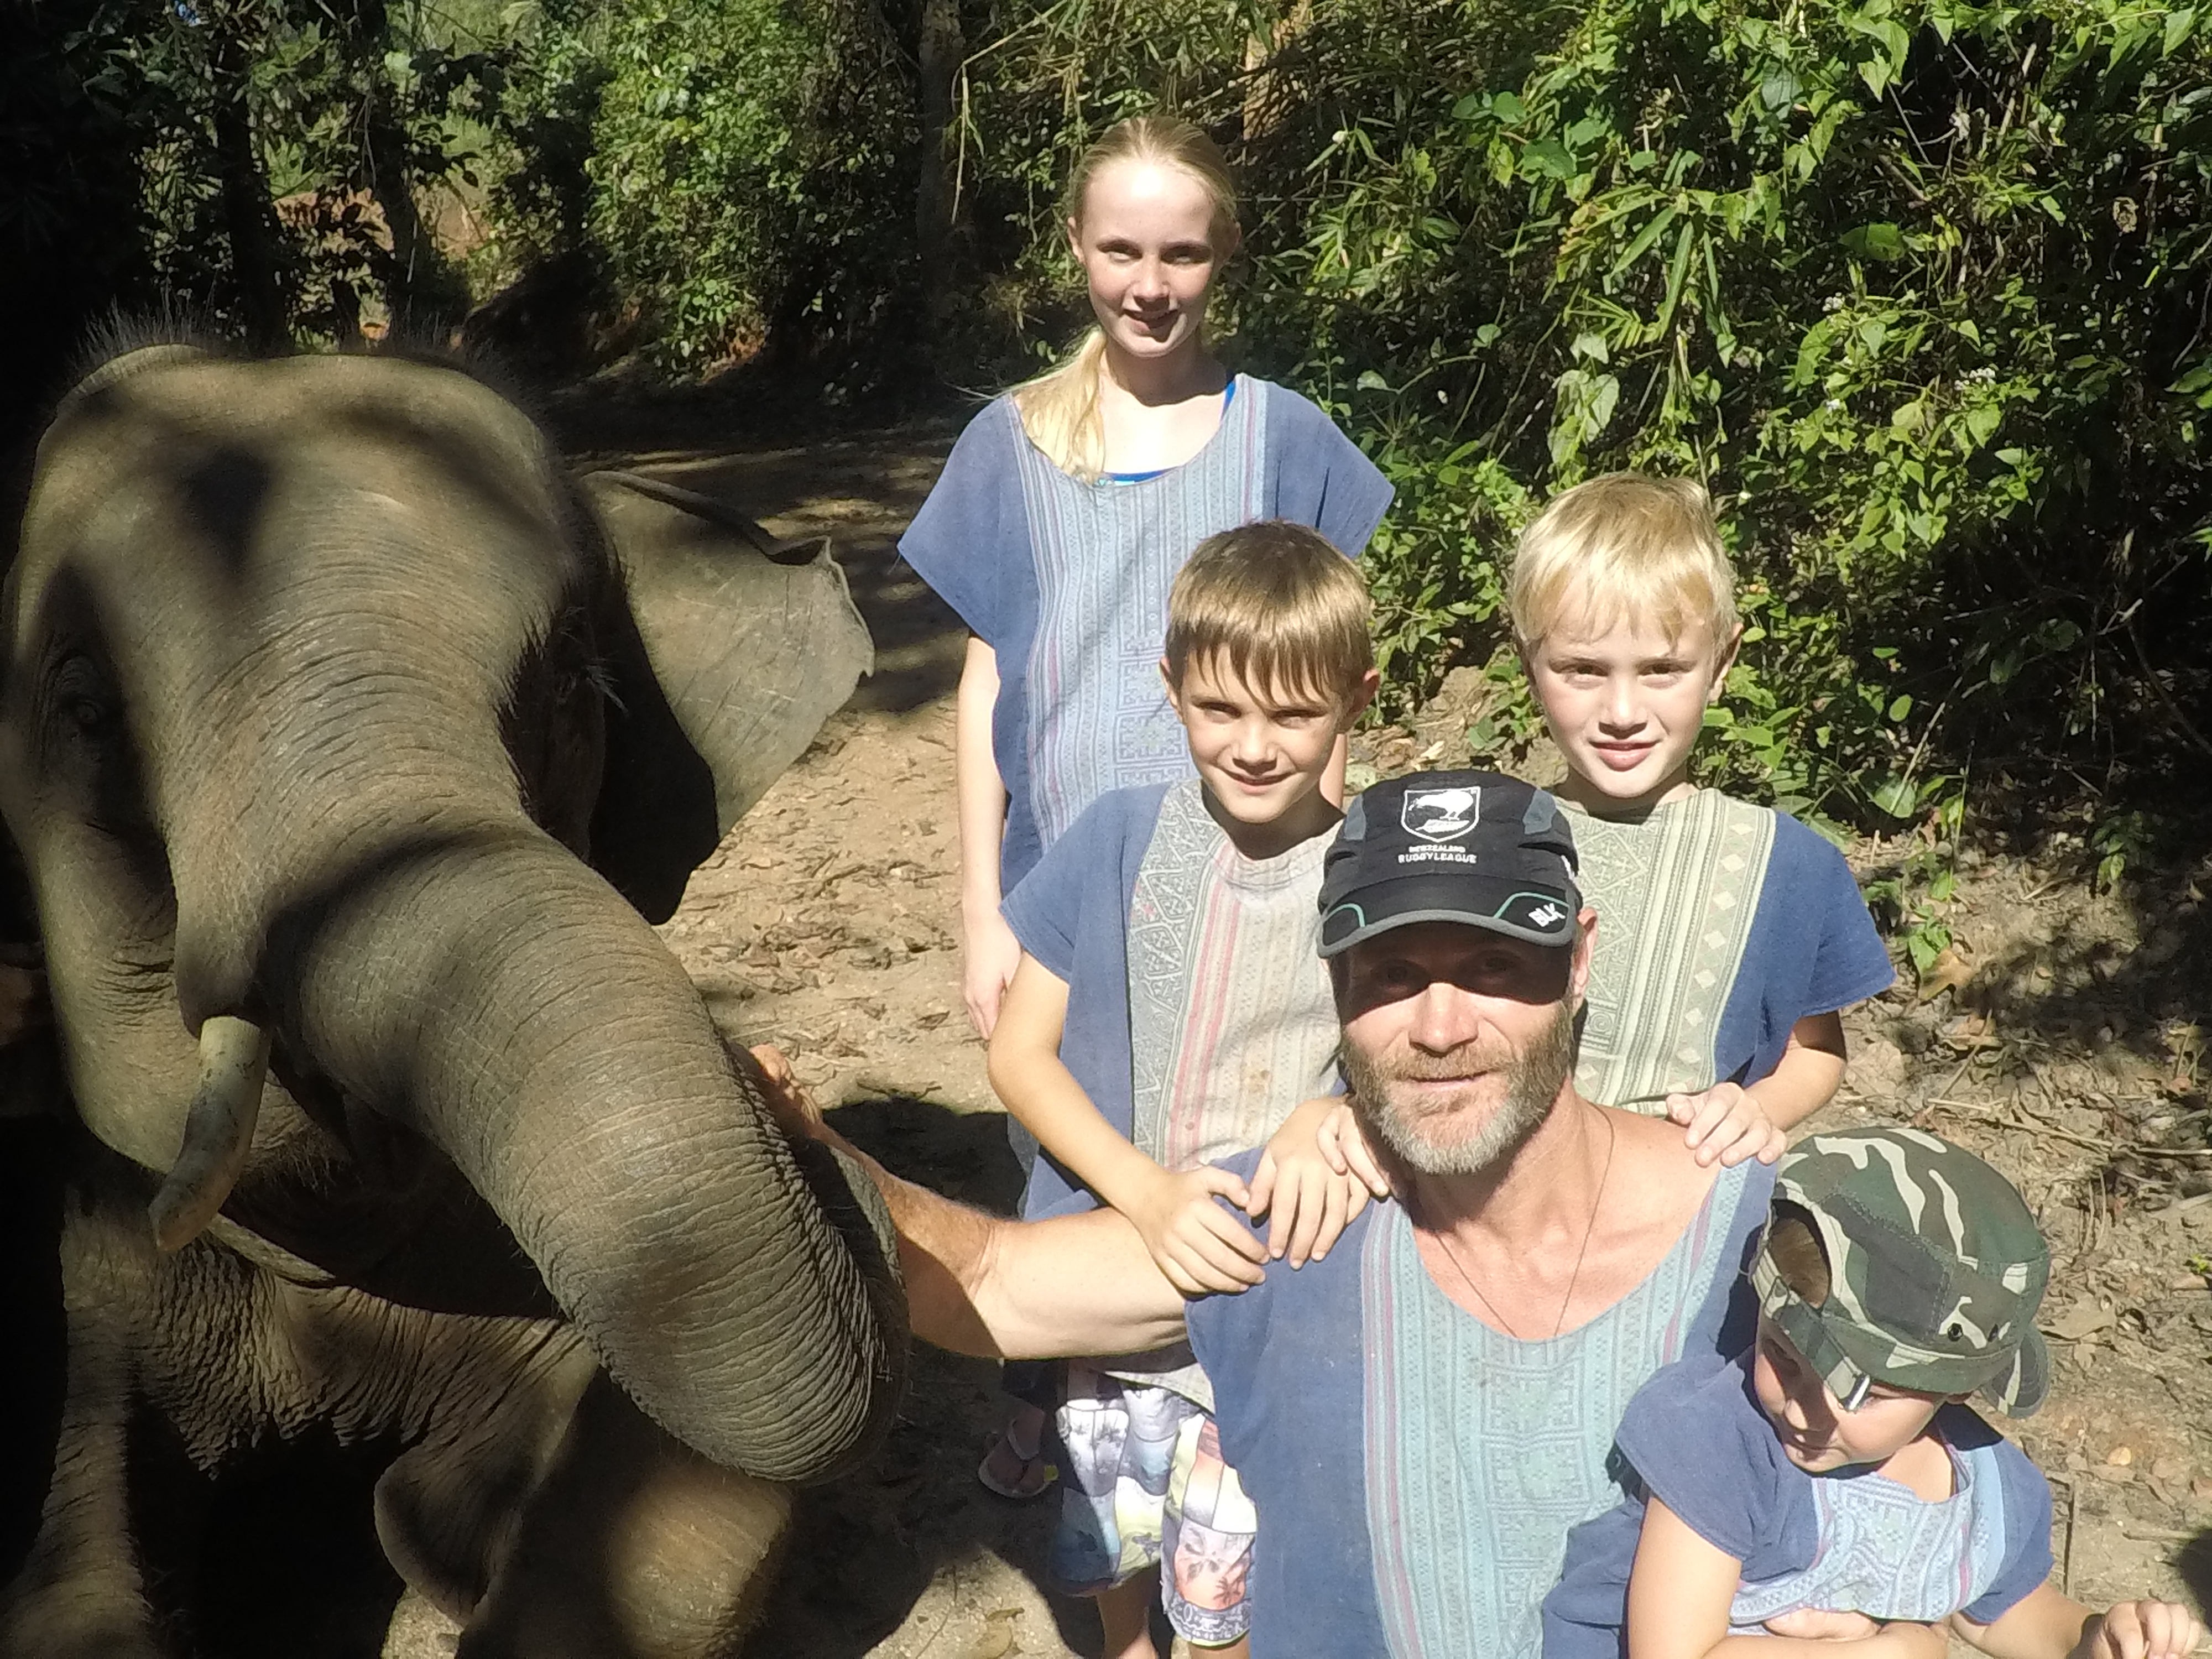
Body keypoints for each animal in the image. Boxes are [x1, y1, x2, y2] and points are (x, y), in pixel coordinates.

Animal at [0, 338, 907, 1658]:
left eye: (575, 679)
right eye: (84, 711)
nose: (794, 1102)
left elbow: (692, 1513)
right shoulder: (107, 1266)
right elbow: (72, 1590)